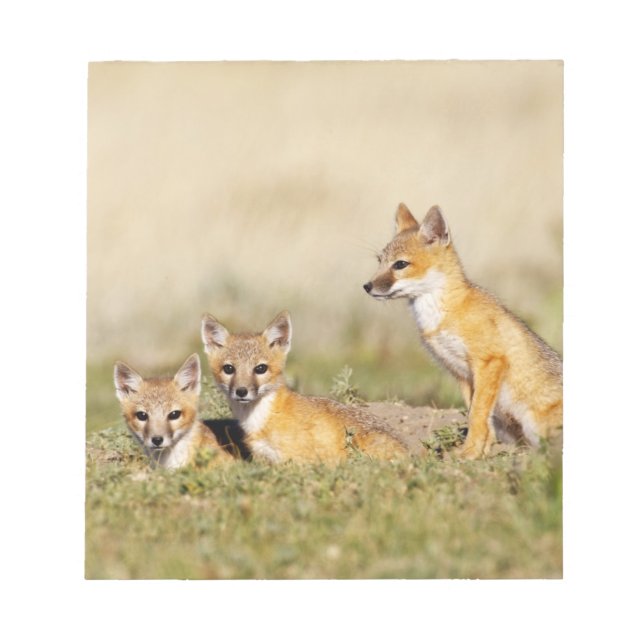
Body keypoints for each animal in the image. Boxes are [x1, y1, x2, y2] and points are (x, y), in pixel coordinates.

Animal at [363, 203, 563, 459]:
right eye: (380, 261)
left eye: (400, 264)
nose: (367, 286)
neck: (442, 314)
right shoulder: (461, 373)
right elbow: (478, 416)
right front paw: (481, 452)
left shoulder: (489, 362)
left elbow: (477, 414)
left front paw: (468, 454)